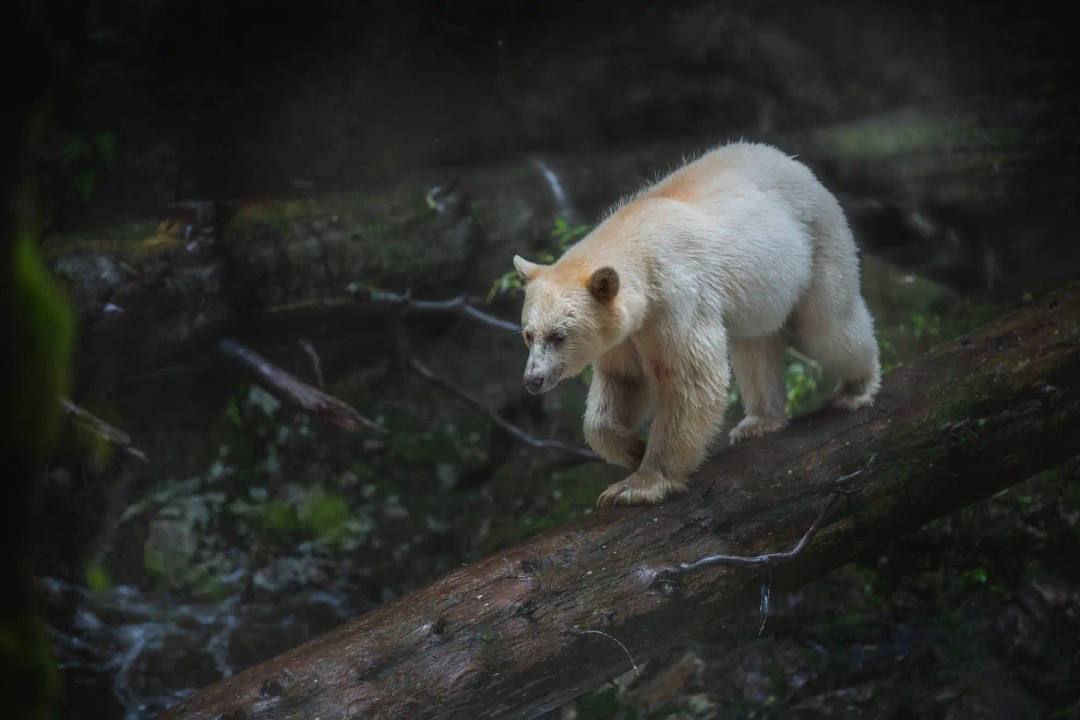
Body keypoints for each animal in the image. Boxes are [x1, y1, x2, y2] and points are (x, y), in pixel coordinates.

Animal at [513, 142, 880, 507]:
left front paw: (640, 483)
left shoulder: (675, 298)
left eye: (559, 336)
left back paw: (855, 389)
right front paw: (633, 449)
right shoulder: (628, 331)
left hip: (817, 240)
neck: (636, 239)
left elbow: (689, 378)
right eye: (528, 335)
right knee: (755, 346)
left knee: (827, 326)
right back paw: (759, 421)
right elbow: (624, 380)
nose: (532, 379)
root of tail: (789, 160)